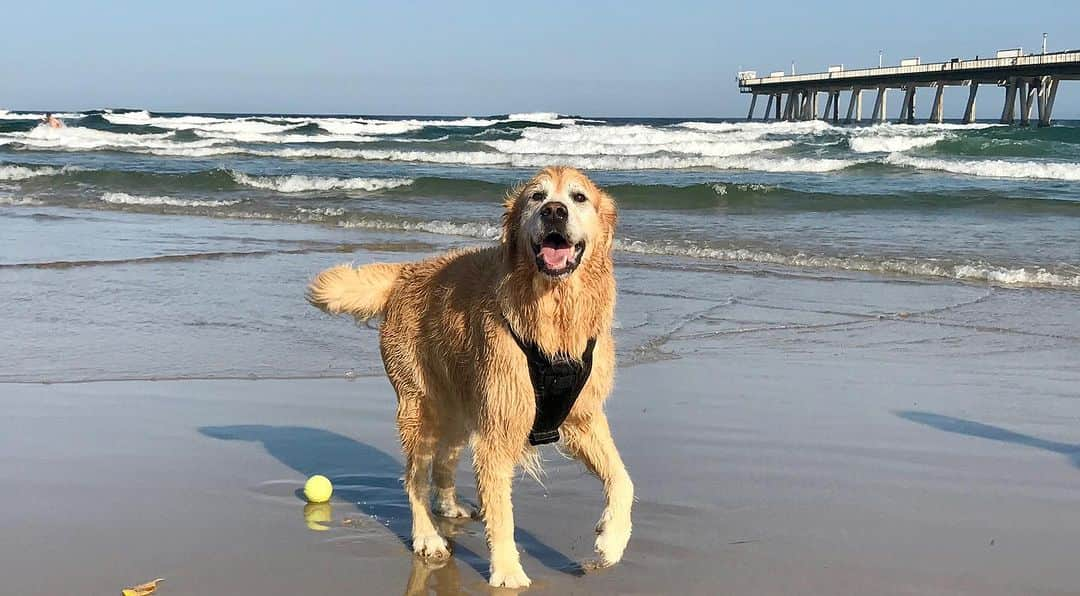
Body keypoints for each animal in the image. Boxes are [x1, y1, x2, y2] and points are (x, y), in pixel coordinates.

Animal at [308, 165, 630, 587]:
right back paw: (428, 536)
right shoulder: (499, 430)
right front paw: (508, 571)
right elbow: (502, 513)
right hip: (420, 407)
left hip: (460, 404)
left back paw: (448, 505)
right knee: (415, 478)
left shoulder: (584, 417)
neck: (555, 311)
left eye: (578, 197)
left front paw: (612, 541)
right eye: (537, 196)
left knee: (444, 460)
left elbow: (622, 479)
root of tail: (406, 271)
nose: (554, 211)